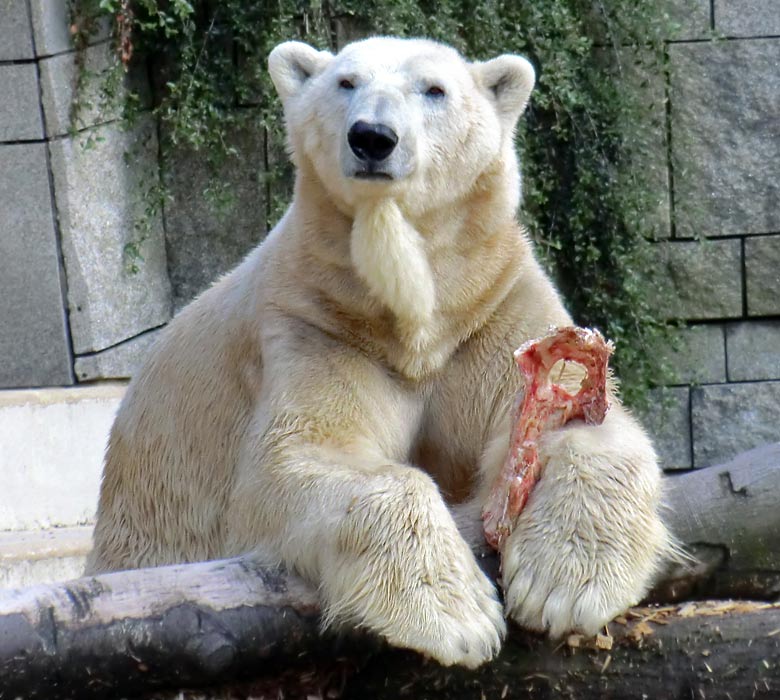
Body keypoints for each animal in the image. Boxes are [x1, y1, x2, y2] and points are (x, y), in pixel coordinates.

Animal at [87, 37, 672, 668]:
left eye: (434, 89)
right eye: (346, 82)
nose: (372, 136)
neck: (413, 319)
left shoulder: (493, 309)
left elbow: (573, 417)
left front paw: (568, 584)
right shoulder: (316, 325)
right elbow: (299, 457)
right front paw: (457, 616)